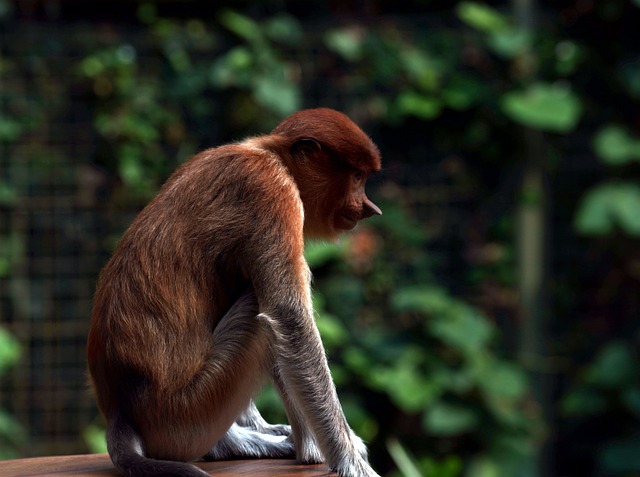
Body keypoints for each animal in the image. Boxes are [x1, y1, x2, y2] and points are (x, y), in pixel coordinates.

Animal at [87, 108, 382, 476]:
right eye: (356, 176)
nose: (370, 208)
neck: (269, 154)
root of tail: (121, 410)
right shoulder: (271, 192)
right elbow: (290, 320)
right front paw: (351, 461)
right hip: (188, 414)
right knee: (264, 317)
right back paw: (299, 450)